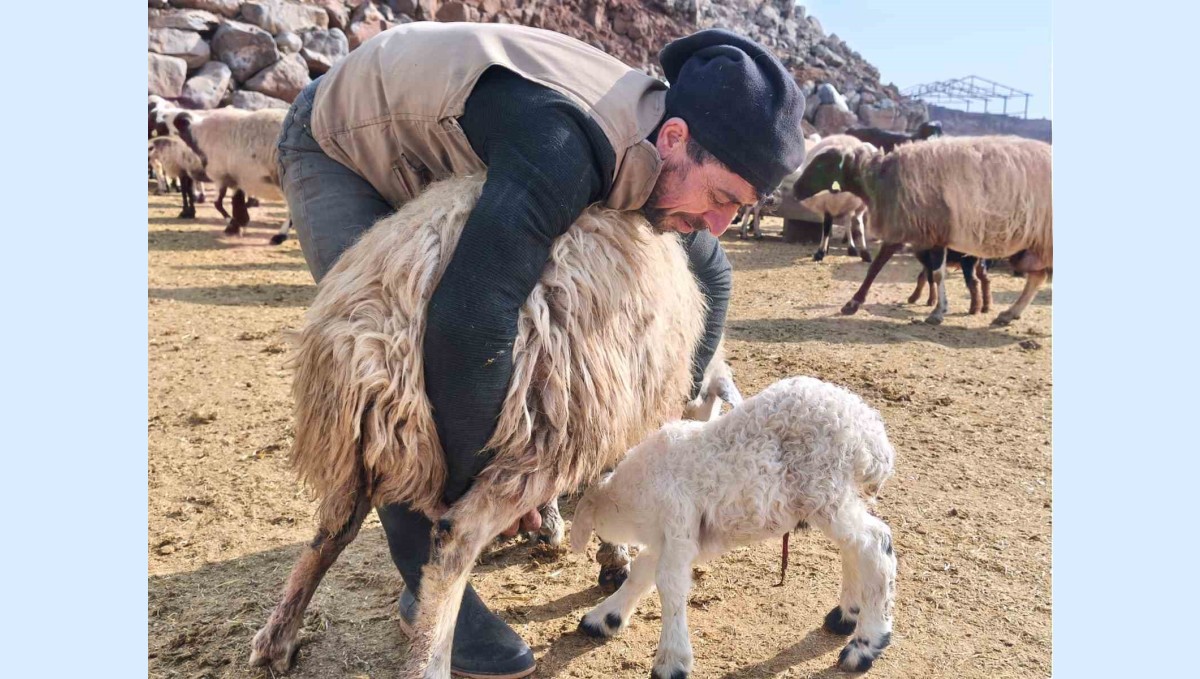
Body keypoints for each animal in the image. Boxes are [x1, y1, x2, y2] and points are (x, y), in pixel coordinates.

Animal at [573, 374, 902, 676]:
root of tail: (872, 437)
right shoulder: (673, 537)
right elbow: (643, 571)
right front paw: (604, 618)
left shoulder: (678, 523)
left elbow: (669, 583)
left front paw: (671, 661)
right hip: (833, 496)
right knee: (854, 547)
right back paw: (846, 616)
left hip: (823, 488)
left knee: (875, 543)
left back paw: (865, 645)